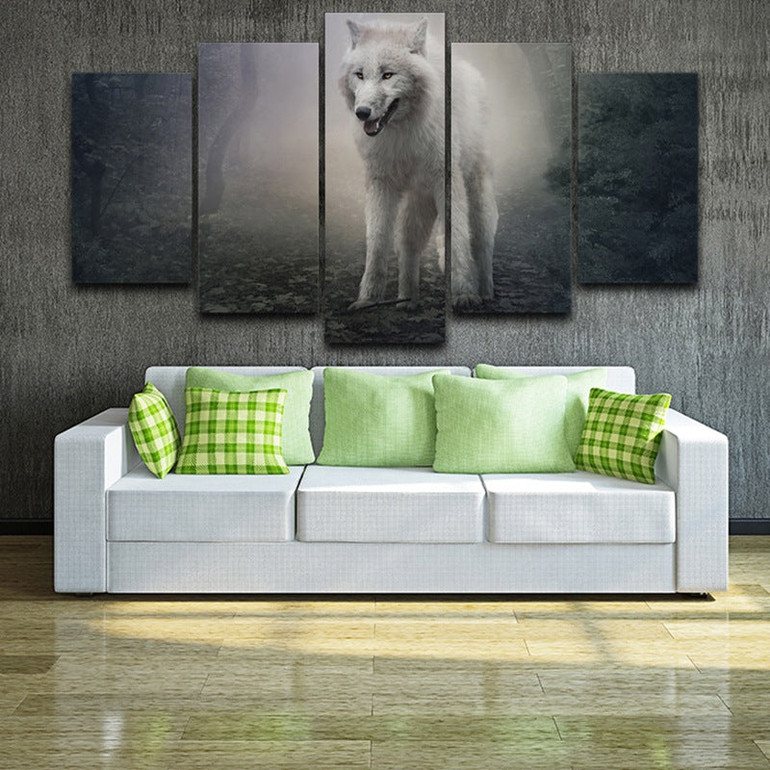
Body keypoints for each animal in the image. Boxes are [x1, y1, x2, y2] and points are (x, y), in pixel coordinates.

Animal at [338, 16, 497, 311]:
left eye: (388, 75)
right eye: (360, 75)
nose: (362, 112)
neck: (402, 133)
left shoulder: (447, 181)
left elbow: (458, 238)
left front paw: (464, 294)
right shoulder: (380, 183)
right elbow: (377, 243)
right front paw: (368, 300)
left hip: (477, 198)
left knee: (481, 242)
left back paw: (485, 292)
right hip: (417, 204)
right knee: (408, 244)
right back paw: (406, 299)